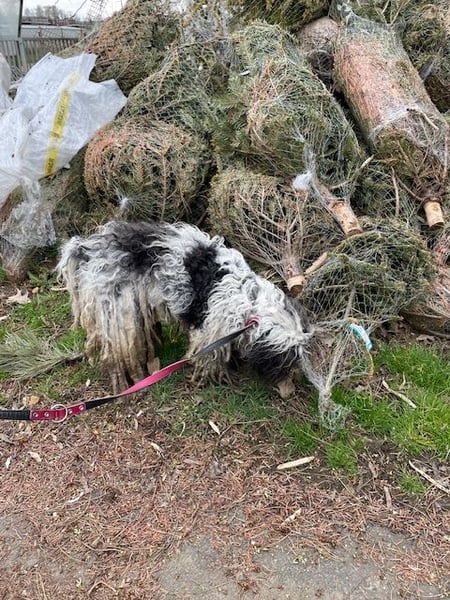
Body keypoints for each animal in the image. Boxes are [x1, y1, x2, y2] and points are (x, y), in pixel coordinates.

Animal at [56, 220, 314, 394]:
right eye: (285, 362)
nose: (292, 388)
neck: (249, 300)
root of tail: (87, 250)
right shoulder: (211, 331)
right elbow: (209, 358)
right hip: (120, 317)